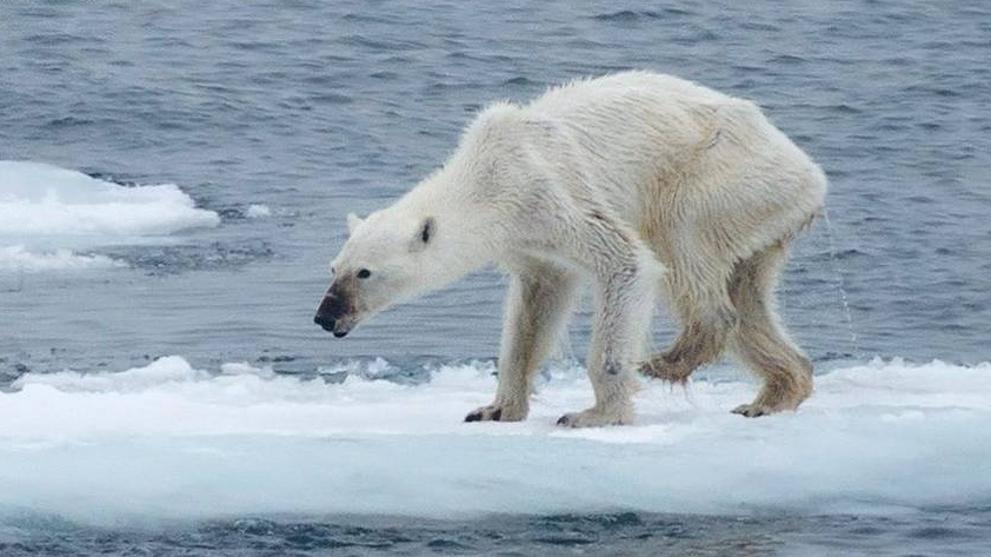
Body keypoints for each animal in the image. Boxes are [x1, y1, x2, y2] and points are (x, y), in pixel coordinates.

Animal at [314, 71, 827, 427]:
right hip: (761, 216)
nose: (324, 316)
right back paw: (773, 394)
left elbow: (627, 263)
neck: (488, 177)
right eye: (334, 267)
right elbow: (535, 307)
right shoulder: (527, 241)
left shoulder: (550, 193)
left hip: (721, 177)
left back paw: (668, 360)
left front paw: (593, 414)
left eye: (364, 272)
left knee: (682, 242)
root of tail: (810, 173)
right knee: (749, 296)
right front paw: (494, 408)